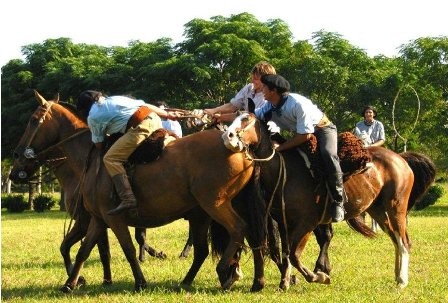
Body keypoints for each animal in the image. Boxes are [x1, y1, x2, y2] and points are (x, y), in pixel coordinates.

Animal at [8, 92, 264, 292]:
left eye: (33, 121)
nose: (17, 156)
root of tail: (242, 149)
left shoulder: (111, 219)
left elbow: (128, 249)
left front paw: (139, 281)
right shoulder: (98, 220)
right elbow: (83, 250)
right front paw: (71, 283)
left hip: (215, 204)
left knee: (238, 229)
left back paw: (225, 271)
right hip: (202, 214)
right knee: (209, 248)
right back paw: (201, 279)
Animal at [222, 111, 436, 290]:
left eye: (246, 118)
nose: (227, 136)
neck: (284, 172)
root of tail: (400, 159)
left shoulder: (307, 223)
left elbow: (294, 255)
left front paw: (319, 276)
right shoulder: (283, 223)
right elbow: (286, 253)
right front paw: (285, 282)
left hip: (396, 208)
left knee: (404, 241)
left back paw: (402, 280)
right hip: (378, 210)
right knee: (395, 239)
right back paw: (397, 276)